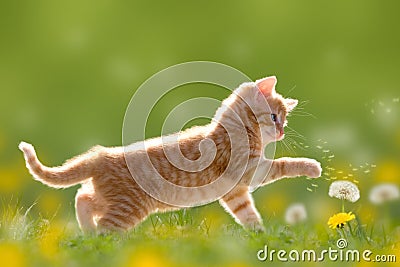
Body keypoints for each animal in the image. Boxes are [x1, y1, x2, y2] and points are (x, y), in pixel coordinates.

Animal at [20, 76, 324, 233]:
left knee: (82, 198)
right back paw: (98, 243)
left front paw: (258, 236)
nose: (281, 132)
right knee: (104, 227)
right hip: (128, 208)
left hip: (110, 198)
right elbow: (283, 164)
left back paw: (87, 232)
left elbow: (247, 214)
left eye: (285, 120)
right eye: (274, 117)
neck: (237, 130)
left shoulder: (235, 193)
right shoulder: (249, 170)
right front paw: (312, 167)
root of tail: (101, 155)